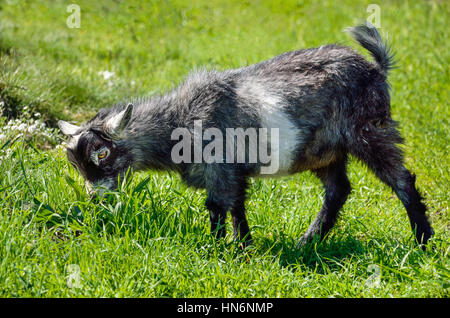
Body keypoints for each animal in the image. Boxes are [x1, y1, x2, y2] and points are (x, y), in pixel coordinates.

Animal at [59, 24, 432, 248]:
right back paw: (307, 242)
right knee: (338, 190)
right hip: (325, 152)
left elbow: (219, 207)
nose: (95, 199)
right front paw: (239, 246)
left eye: (102, 153)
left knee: (402, 180)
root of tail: (377, 68)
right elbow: (233, 207)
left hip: (370, 132)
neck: (180, 119)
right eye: (75, 164)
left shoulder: (221, 168)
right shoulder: (228, 173)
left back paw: (422, 241)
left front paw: (222, 249)